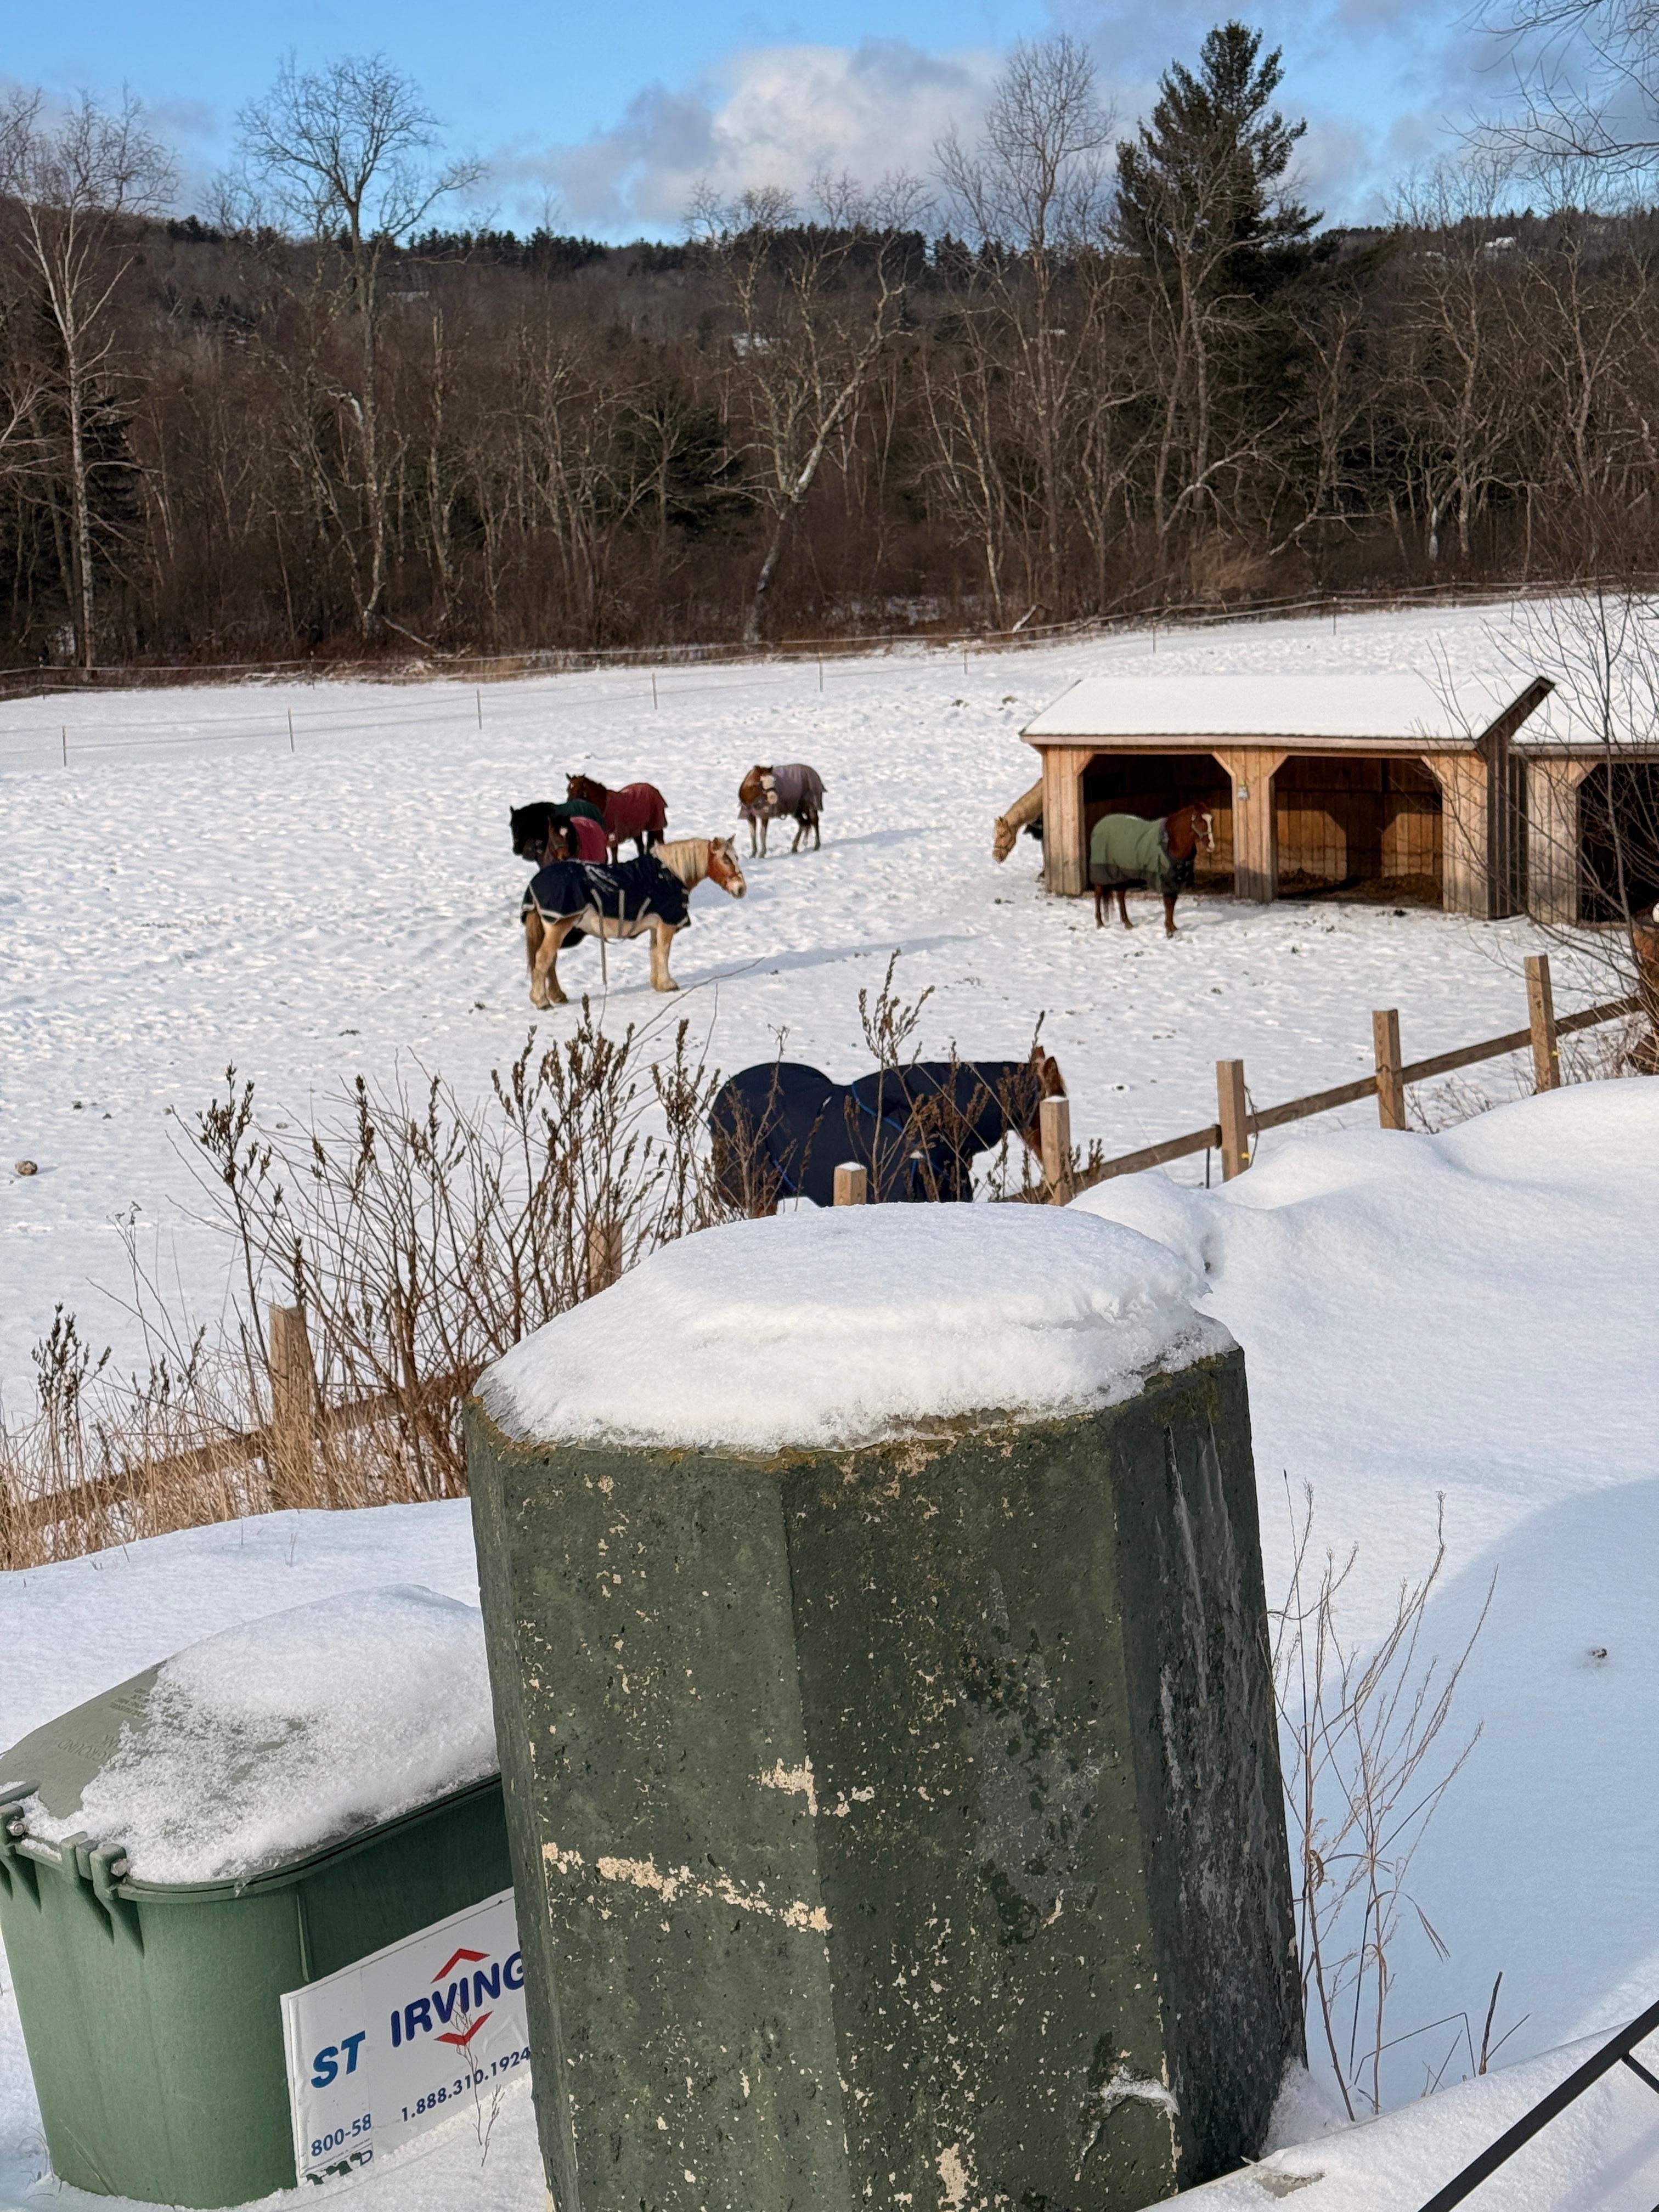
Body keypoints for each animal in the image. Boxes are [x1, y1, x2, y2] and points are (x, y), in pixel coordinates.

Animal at [522, 836, 746, 1007]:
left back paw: (557, 996)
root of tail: (535, 881)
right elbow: (664, 952)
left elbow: (655, 952)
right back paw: (542, 1001)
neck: (669, 875)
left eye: (736, 858)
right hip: (558, 927)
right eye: (726, 860)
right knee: (543, 958)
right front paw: (668, 983)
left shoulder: (656, 926)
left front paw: (658, 984)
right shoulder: (667, 924)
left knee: (551, 961)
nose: (741, 889)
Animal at [566, 773, 668, 861]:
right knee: (641, 847)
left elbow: (614, 858)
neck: (604, 806)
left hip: (657, 826)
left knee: (661, 842)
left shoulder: (613, 837)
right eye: (568, 790)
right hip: (637, 830)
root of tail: (653, 789)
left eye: (579, 791)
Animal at [738, 763, 825, 856]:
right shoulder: (750, 816)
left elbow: (762, 833)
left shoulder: (765, 816)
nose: (774, 798)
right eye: (760, 782)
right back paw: (794, 848)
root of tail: (814, 773)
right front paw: (753, 854)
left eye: (774, 781)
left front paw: (762, 854)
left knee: (814, 821)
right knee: (803, 824)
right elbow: (753, 834)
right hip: (797, 809)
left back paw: (817, 846)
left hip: (811, 805)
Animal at [1089, 805, 1215, 937]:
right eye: (1200, 821)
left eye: (1212, 820)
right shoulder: (1165, 879)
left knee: (1120, 895)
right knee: (1098, 893)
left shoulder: (1175, 879)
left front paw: (1173, 928)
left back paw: (1127, 923)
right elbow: (1168, 903)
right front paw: (1169, 931)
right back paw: (1100, 923)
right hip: (1102, 870)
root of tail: (1099, 825)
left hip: (1121, 872)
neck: (1172, 842)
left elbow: (1172, 903)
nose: (1211, 846)